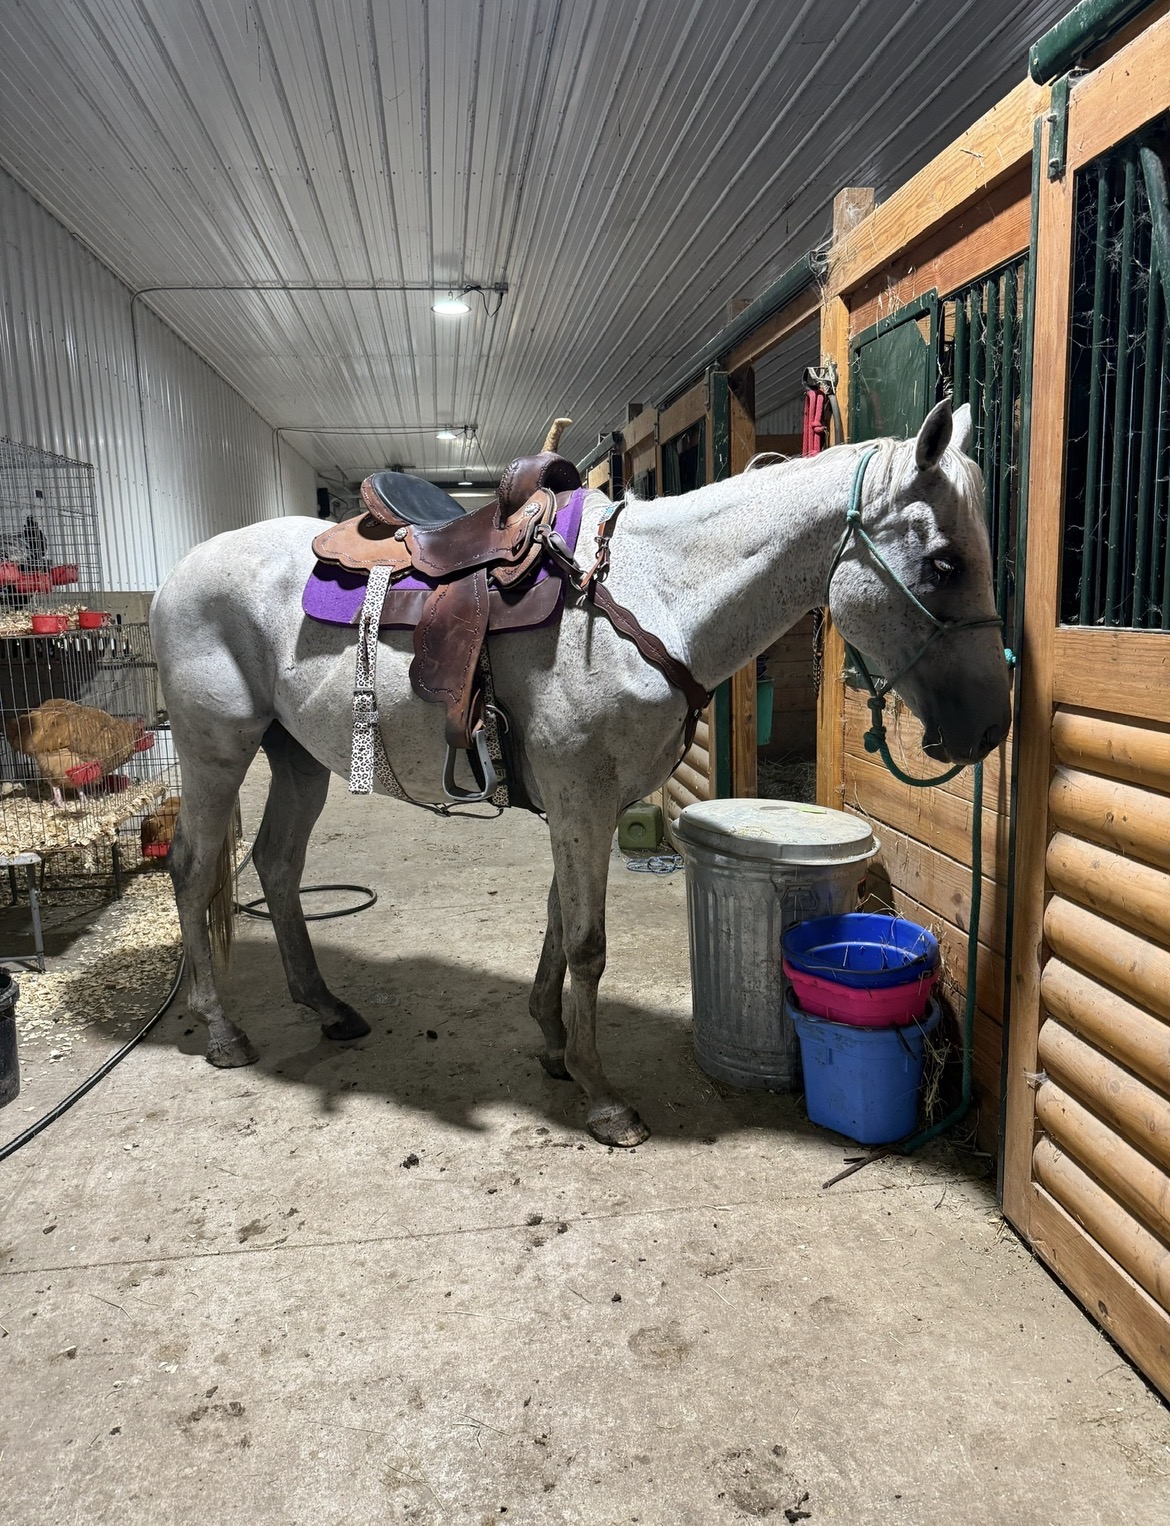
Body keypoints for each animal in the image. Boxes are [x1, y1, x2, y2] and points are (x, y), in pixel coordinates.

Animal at [150, 397, 1010, 1149]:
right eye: (943, 563)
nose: (991, 726)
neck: (654, 597)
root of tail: (178, 574)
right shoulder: (582, 800)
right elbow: (588, 944)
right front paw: (603, 1098)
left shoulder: (581, 804)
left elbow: (560, 924)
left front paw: (556, 1046)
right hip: (216, 750)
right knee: (193, 868)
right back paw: (223, 1029)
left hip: (296, 758)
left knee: (277, 864)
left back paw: (327, 1007)